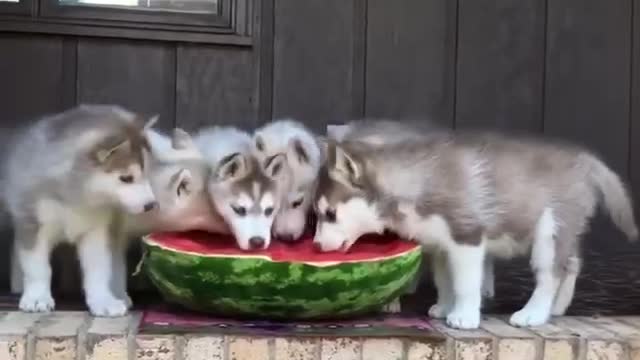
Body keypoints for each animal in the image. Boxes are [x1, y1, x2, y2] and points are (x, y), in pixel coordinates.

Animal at [2, 105, 158, 318]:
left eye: (146, 173)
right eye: (126, 178)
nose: (151, 205)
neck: (76, 198)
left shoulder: (96, 231)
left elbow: (98, 269)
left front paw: (103, 300)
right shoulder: (32, 224)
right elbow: (38, 268)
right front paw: (37, 298)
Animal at [312, 131, 636, 330]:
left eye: (330, 214)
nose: (315, 246)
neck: (416, 182)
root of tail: (585, 159)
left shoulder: (465, 236)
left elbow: (466, 283)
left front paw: (464, 317)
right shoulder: (439, 245)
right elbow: (445, 281)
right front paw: (445, 307)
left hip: (549, 232)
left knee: (550, 274)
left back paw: (534, 313)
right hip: (566, 228)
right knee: (572, 262)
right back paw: (559, 306)